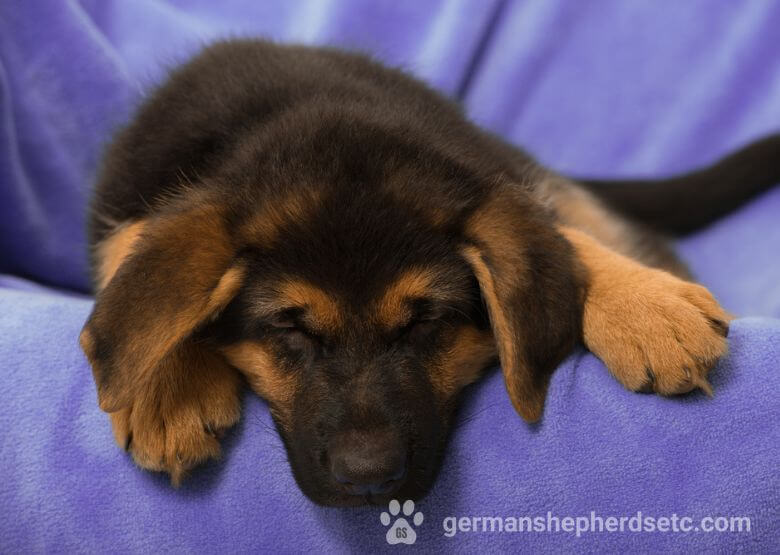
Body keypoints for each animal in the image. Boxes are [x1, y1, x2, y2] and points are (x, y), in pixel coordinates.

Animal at [79, 40, 780, 508]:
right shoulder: (136, 196)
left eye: (427, 325)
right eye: (290, 331)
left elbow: (554, 234)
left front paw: (646, 308)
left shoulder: (491, 181)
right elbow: (138, 251)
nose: (368, 480)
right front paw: (165, 385)